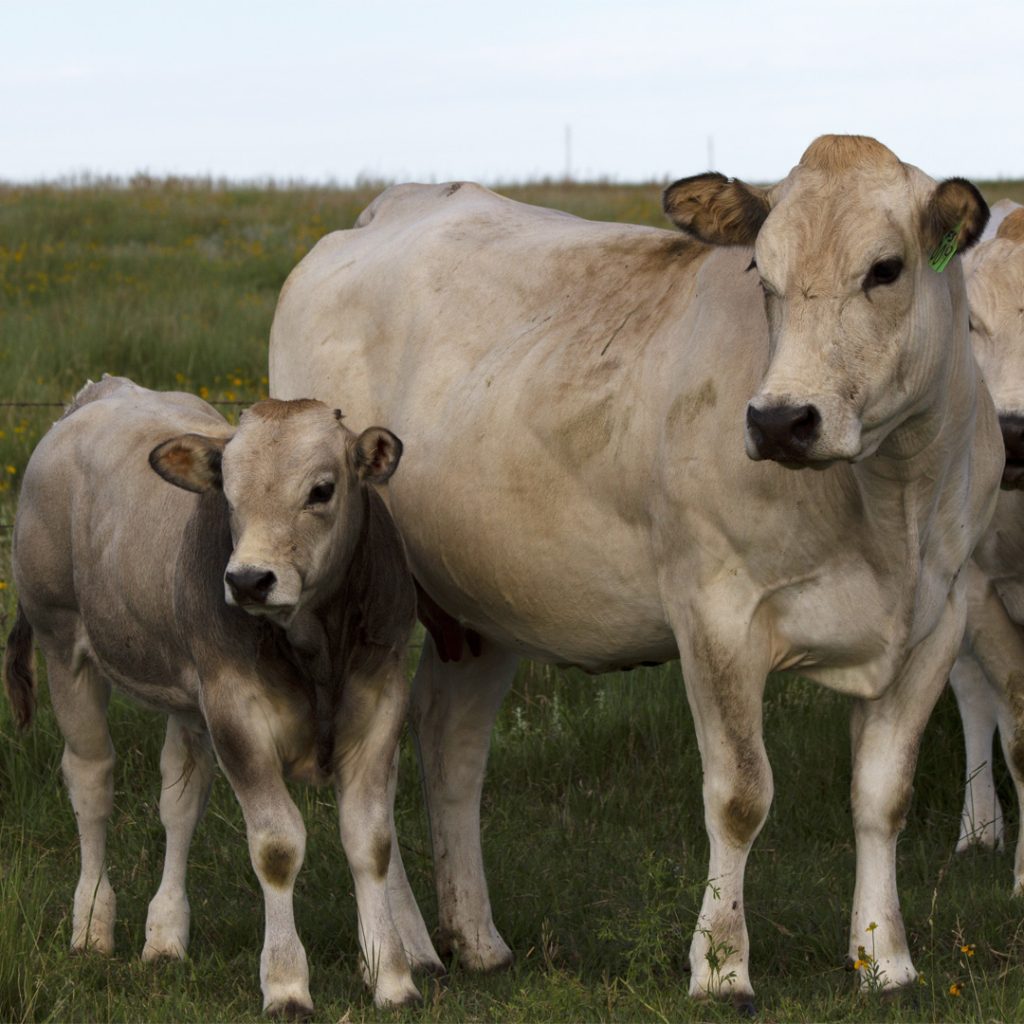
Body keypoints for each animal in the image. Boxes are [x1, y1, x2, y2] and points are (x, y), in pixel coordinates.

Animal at [2, 376, 443, 1017]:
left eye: (322, 490)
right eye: (227, 496)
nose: (248, 580)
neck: (314, 643)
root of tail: (100, 392)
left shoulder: (379, 702)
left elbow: (371, 843)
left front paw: (392, 977)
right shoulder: (237, 712)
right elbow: (277, 848)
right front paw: (285, 984)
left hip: (188, 700)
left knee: (179, 801)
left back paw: (164, 935)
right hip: (64, 648)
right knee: (91, 783)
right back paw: (91, 922)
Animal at [267, 135, 1002, 1008]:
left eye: (885, 269)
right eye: (761, 273)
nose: (781, 420)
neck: (891, 507)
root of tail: (386, 209)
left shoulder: (937, 618)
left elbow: (883, 797)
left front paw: (884, 959)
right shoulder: (717, 612)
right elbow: (740, 796)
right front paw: (721, 968)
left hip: (478, 605)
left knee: (450, 743)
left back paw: (467, 940)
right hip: (353, 597)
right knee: (367, 770)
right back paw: (398, 951)